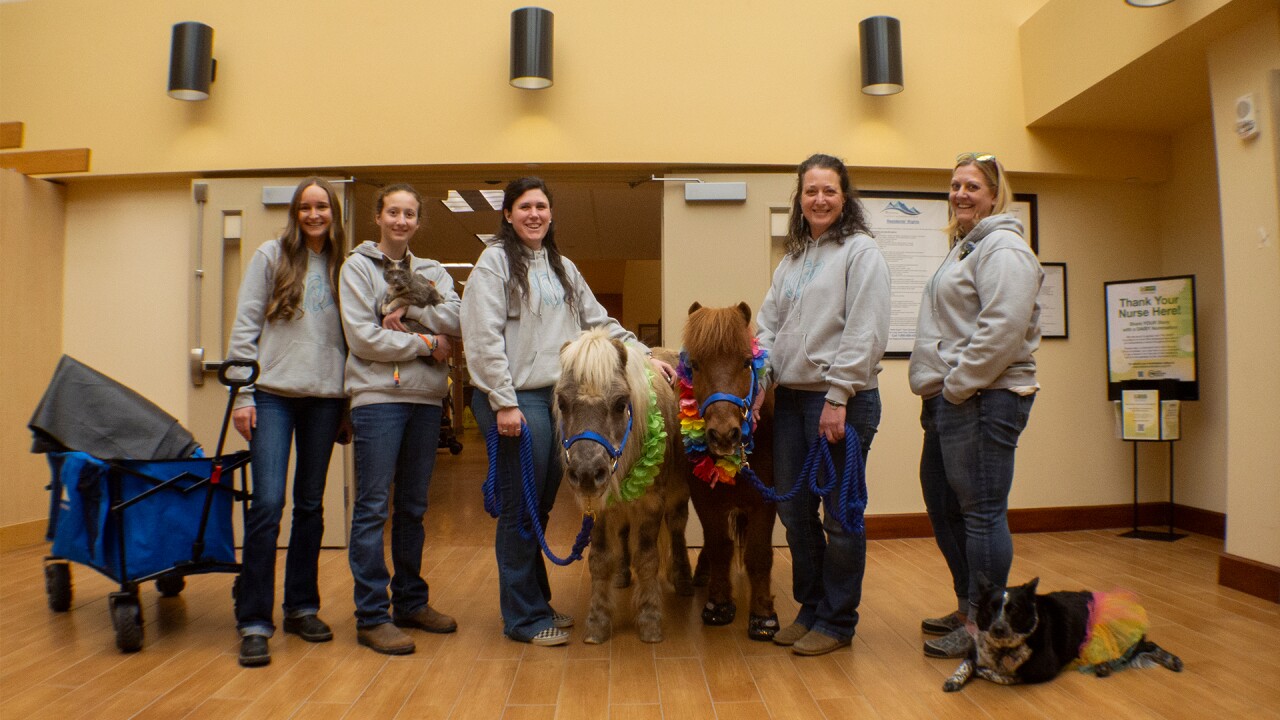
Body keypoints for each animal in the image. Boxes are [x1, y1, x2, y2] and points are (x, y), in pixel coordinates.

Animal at [552, 327, 691, 640]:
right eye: (562, 402)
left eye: (619, 404)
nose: (587, 473)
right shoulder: (599, 509)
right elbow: (600, 560)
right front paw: (598, 620)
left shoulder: (653, 504)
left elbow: (648, 559)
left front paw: (650, 620)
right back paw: (622, 575)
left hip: (678, 497)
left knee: (677, 528)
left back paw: (683, 578)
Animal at [680, 299, 778, 635]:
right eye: (695, 364)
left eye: (747, 362)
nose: (724, 435)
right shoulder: (706, 501)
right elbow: (719, 547)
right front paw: (719, 604)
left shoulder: (765, 500)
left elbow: (759, 554)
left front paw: (762, 614)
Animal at [942, 571, 1177, 691]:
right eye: (990, 609)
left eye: (1014, 610)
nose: (998, 629)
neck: (1003, 649)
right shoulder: (973, 653)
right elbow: (965, 665)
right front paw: (955, 680)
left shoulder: (1041, 669)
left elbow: (1005, 676)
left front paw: (985, 671)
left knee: (1146, 645)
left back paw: (1172, 660)